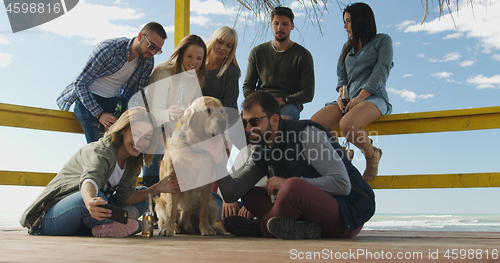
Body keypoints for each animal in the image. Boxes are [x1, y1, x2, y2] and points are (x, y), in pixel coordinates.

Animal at [154, 97, 227, 237]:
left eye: (221, 111)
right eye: (208, 110)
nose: (223, 122)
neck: (196, 148)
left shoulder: (206, 186)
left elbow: (203, 211)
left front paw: (206, 228)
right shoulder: (174, 182)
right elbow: (171, 210)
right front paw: (168, 228)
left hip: (212, 204)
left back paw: (215, 228)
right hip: (159, 204)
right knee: (163, 219)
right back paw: (173, 228)